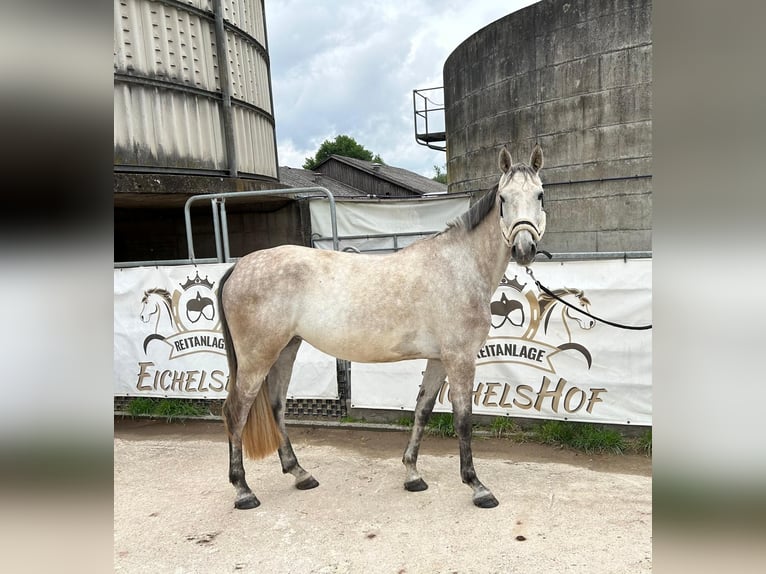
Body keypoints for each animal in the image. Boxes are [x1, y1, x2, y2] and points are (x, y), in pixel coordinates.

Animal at [218, 144, 546, 509]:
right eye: (503, 198)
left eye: (540, 195)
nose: (524, 249)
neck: (459, 266)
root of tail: (239, 266)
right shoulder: (460, 358)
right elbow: (463, 419)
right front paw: (476, 486)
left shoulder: (439, 358)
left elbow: (423, 409)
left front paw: (412, 474)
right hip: (256, 358)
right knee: (236, 411)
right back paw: (243, 490)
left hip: (286, 349)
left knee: (276, 405)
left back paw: (300, 474)